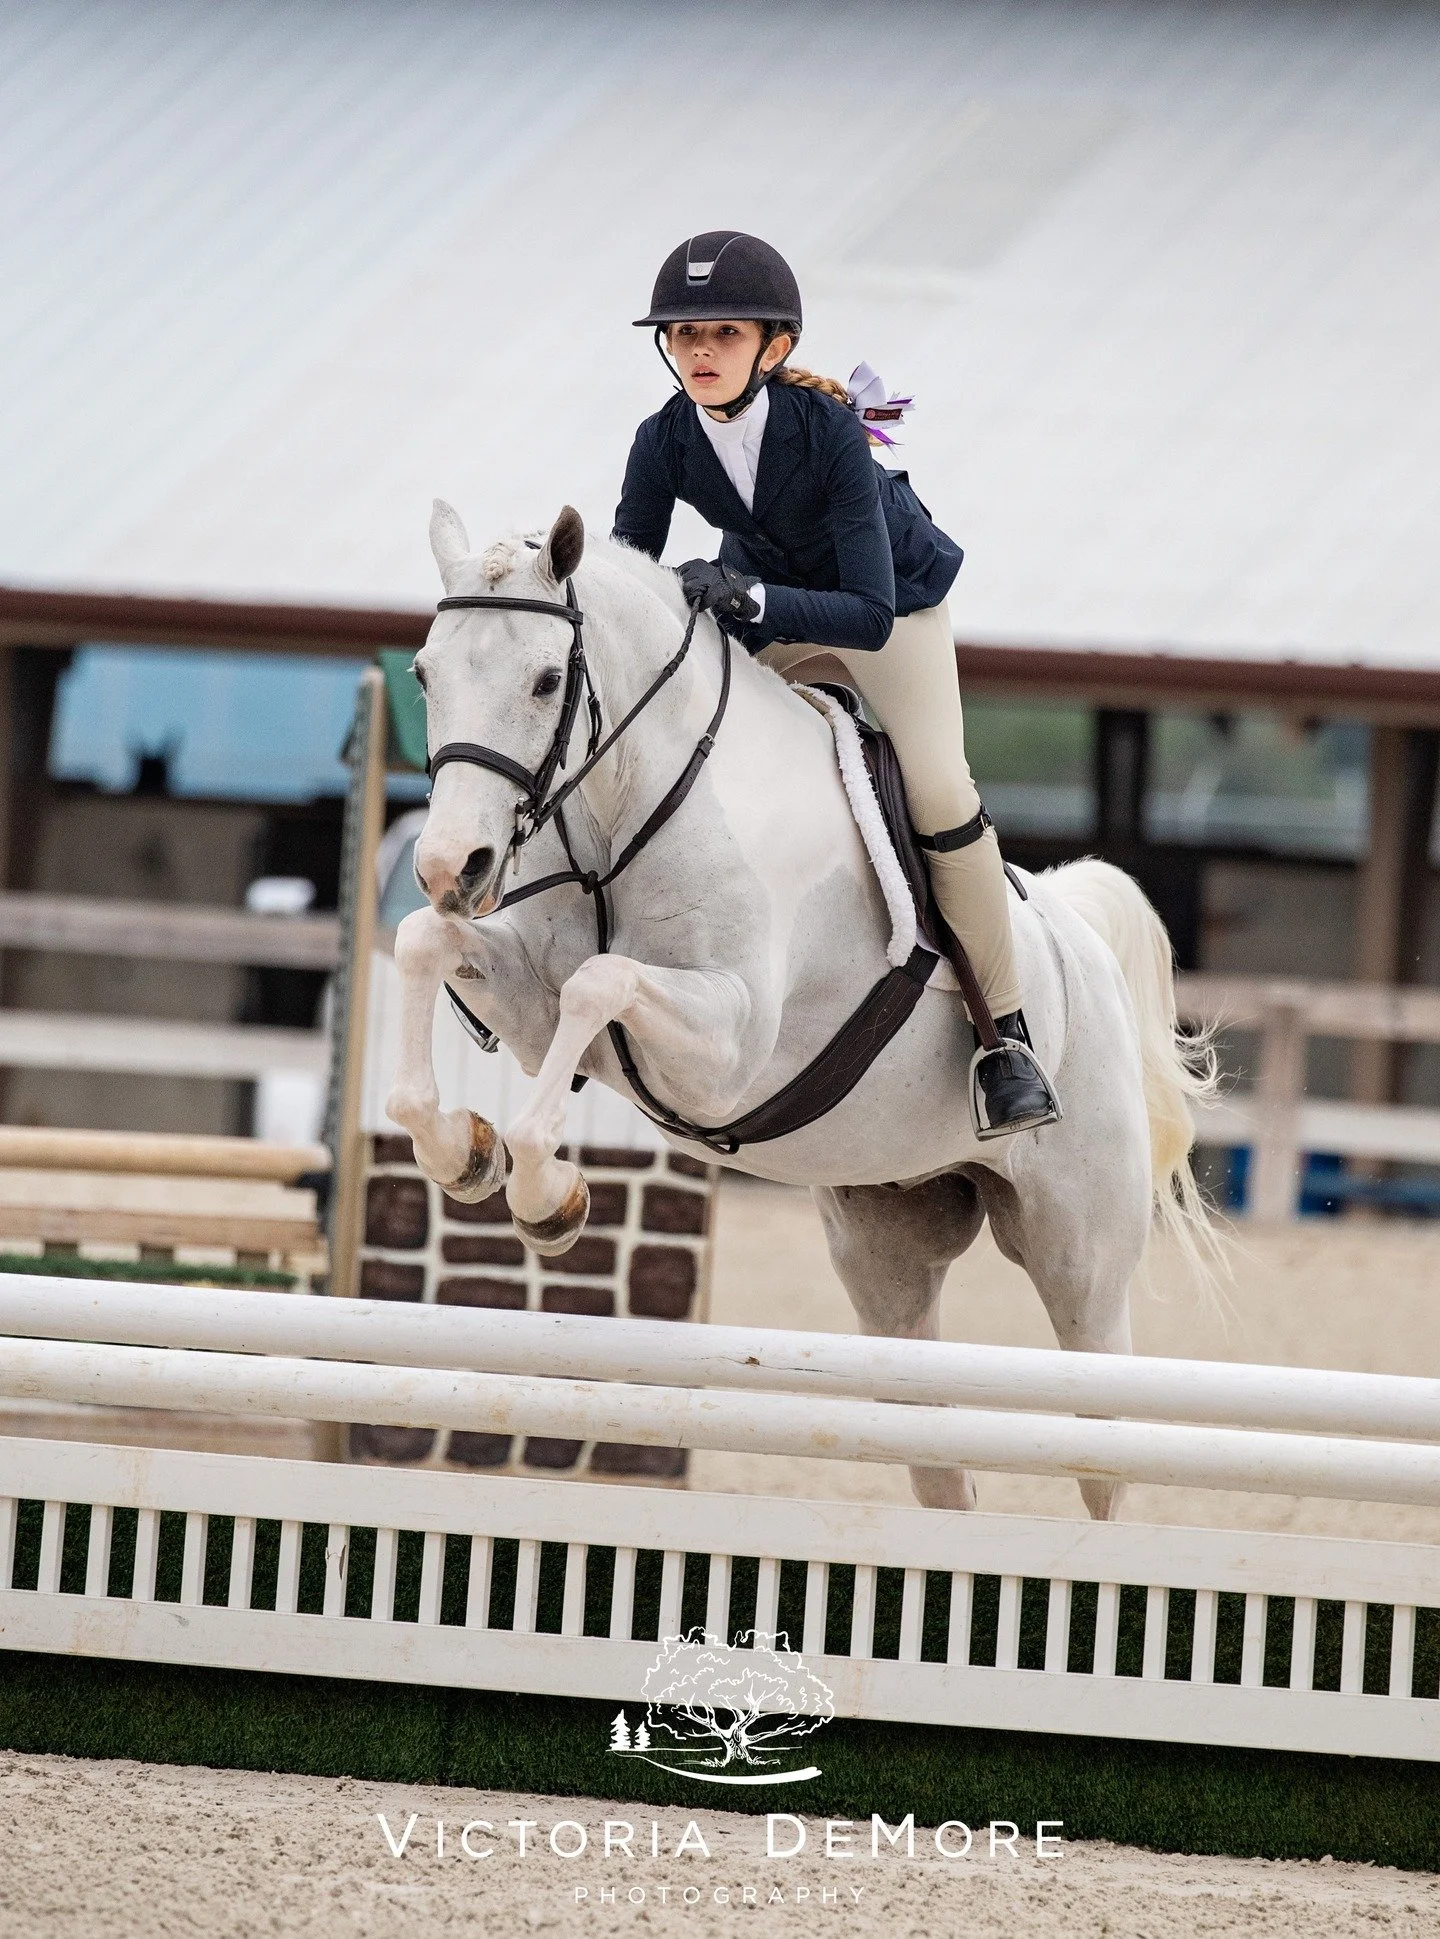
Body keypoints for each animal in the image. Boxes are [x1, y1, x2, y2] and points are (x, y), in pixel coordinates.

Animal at [386, 500, 1219, 1519]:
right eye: (425, 672)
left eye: (547, 679)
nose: (449, 868)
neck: (630, 806)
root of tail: (1076, 936)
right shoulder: (532, 995)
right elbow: (424, 946)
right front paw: (465, 1152)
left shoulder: (727, 1048)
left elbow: (601, 983)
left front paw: (548, 1194)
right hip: (887, 1253)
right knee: (937, 1456)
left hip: (1083, 1264)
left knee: (1102, 1449)